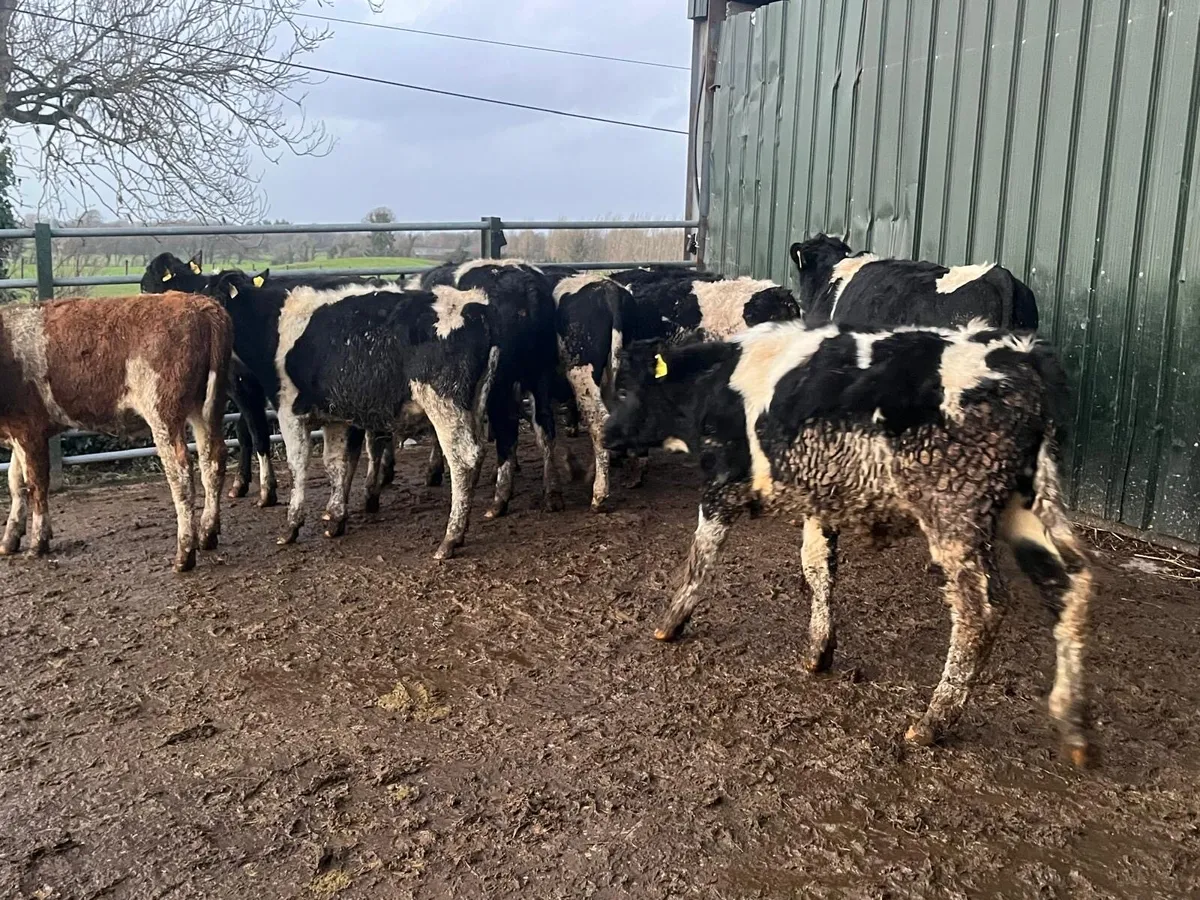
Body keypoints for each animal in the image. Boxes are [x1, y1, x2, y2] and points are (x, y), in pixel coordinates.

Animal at [0, 293, 231, 572]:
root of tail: (201, 305)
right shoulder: (16, 432)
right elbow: (16, 482)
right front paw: (10, 539)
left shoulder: (29, 429)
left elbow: (35, 485)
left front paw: (37, 543)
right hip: (206, 409)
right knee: (213, 461)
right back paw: (208, 534)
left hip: (163, 412)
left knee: (181, 473)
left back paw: (184, 553)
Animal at [207, 271, 498, 558]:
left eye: (213, 297)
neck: (274, 323)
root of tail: (475, 308)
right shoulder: (334, 418)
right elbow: (336, 463)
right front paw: (335, 518)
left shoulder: (289, 412)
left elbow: (297, 465)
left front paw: (291, 526)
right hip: (472, 405)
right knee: (479, 451)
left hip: (444, 404)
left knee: (463, 460)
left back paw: (450, 538)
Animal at [602, 320, 1091, 765]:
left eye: (625, 389)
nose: (606, 435)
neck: (715, 382)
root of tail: (1023, 355)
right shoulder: (820, 497)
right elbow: (816, 566)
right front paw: (819, 650)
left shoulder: (723, 484)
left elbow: (699, 562)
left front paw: (670, 623)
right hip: (1027, 504)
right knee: (1070, 585)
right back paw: (1074, 726)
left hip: (955, 509)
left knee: (981, 609)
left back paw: (934, 721)